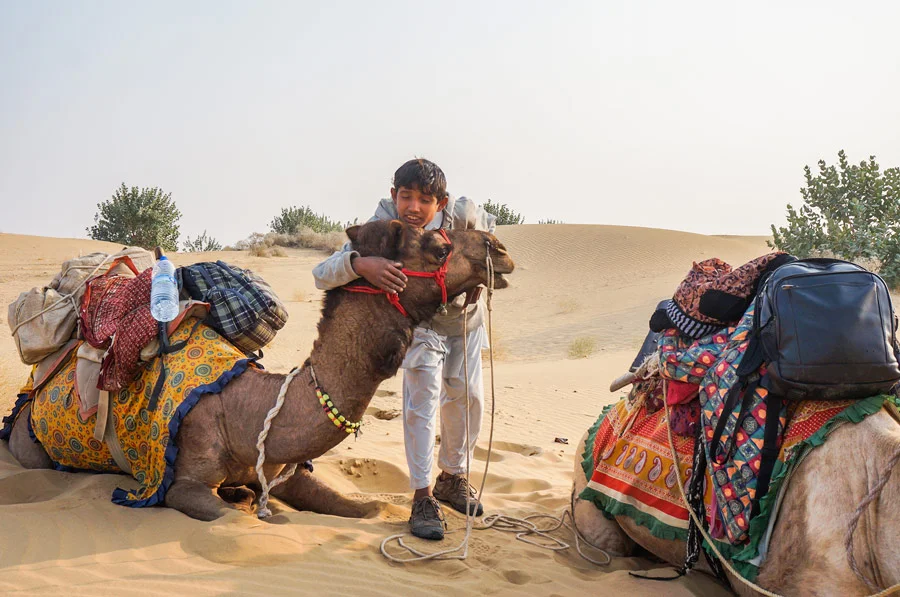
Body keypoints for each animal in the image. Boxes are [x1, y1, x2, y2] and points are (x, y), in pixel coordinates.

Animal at [5, 219, 515, 522]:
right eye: (438, 245)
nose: (501, 249)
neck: (246, 411)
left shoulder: (284, 470)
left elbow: (365, 508)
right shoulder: (183, 483)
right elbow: (228, 515)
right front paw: (252, 507)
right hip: (31, 448)